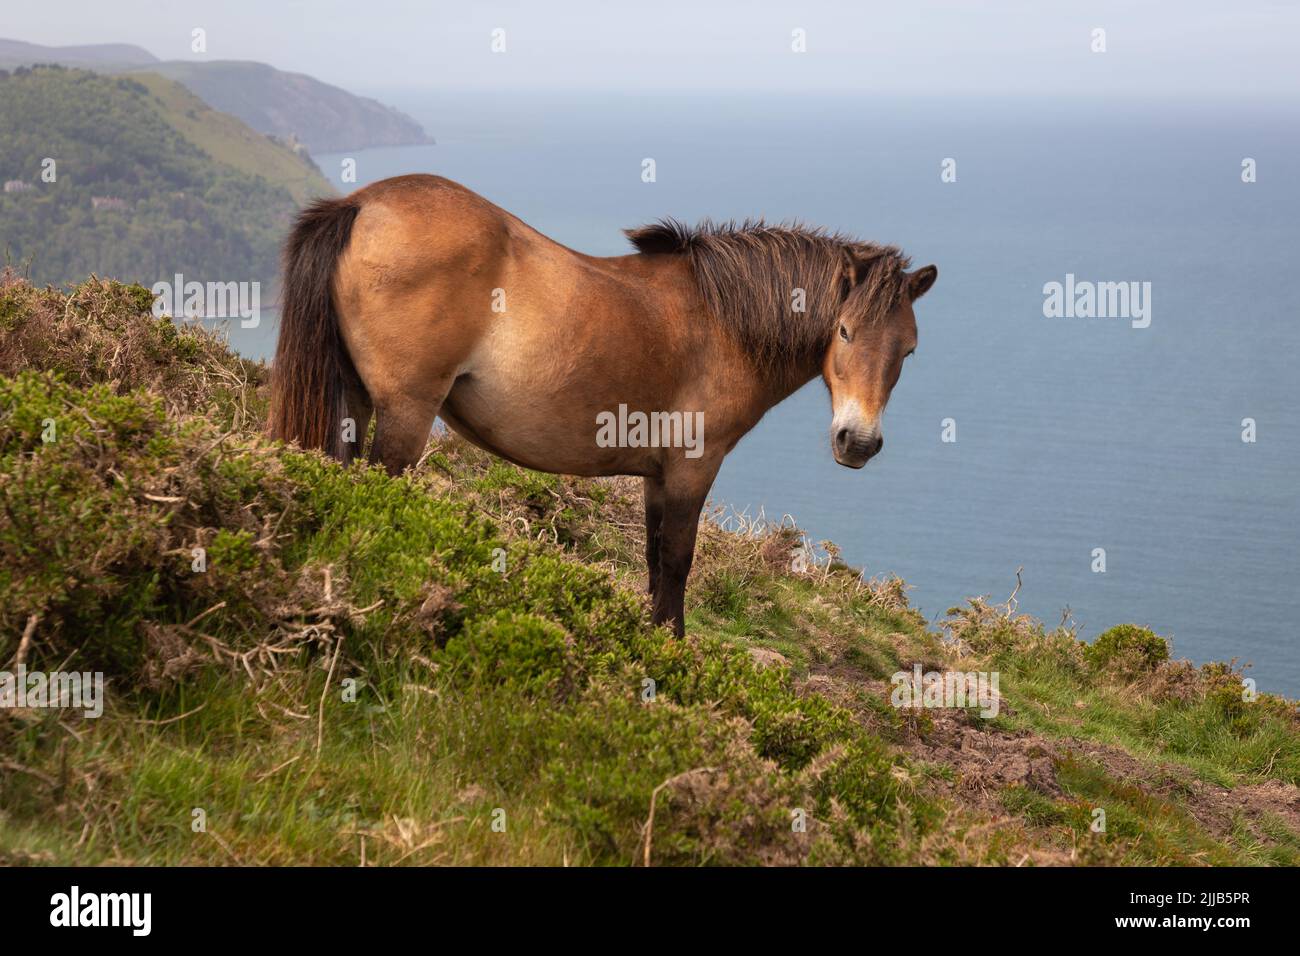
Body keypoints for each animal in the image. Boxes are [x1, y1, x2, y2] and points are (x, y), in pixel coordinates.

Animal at [269, 175, 935, 639]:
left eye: (908, 349)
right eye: (844, 332)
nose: (858, 442)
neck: (722, 319)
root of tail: (362, 204)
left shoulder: (658, 476)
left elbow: (652, 557)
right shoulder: (693, 467)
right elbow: (677, 559)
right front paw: (673, 649)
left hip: (354, 401)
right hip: (405, 413)